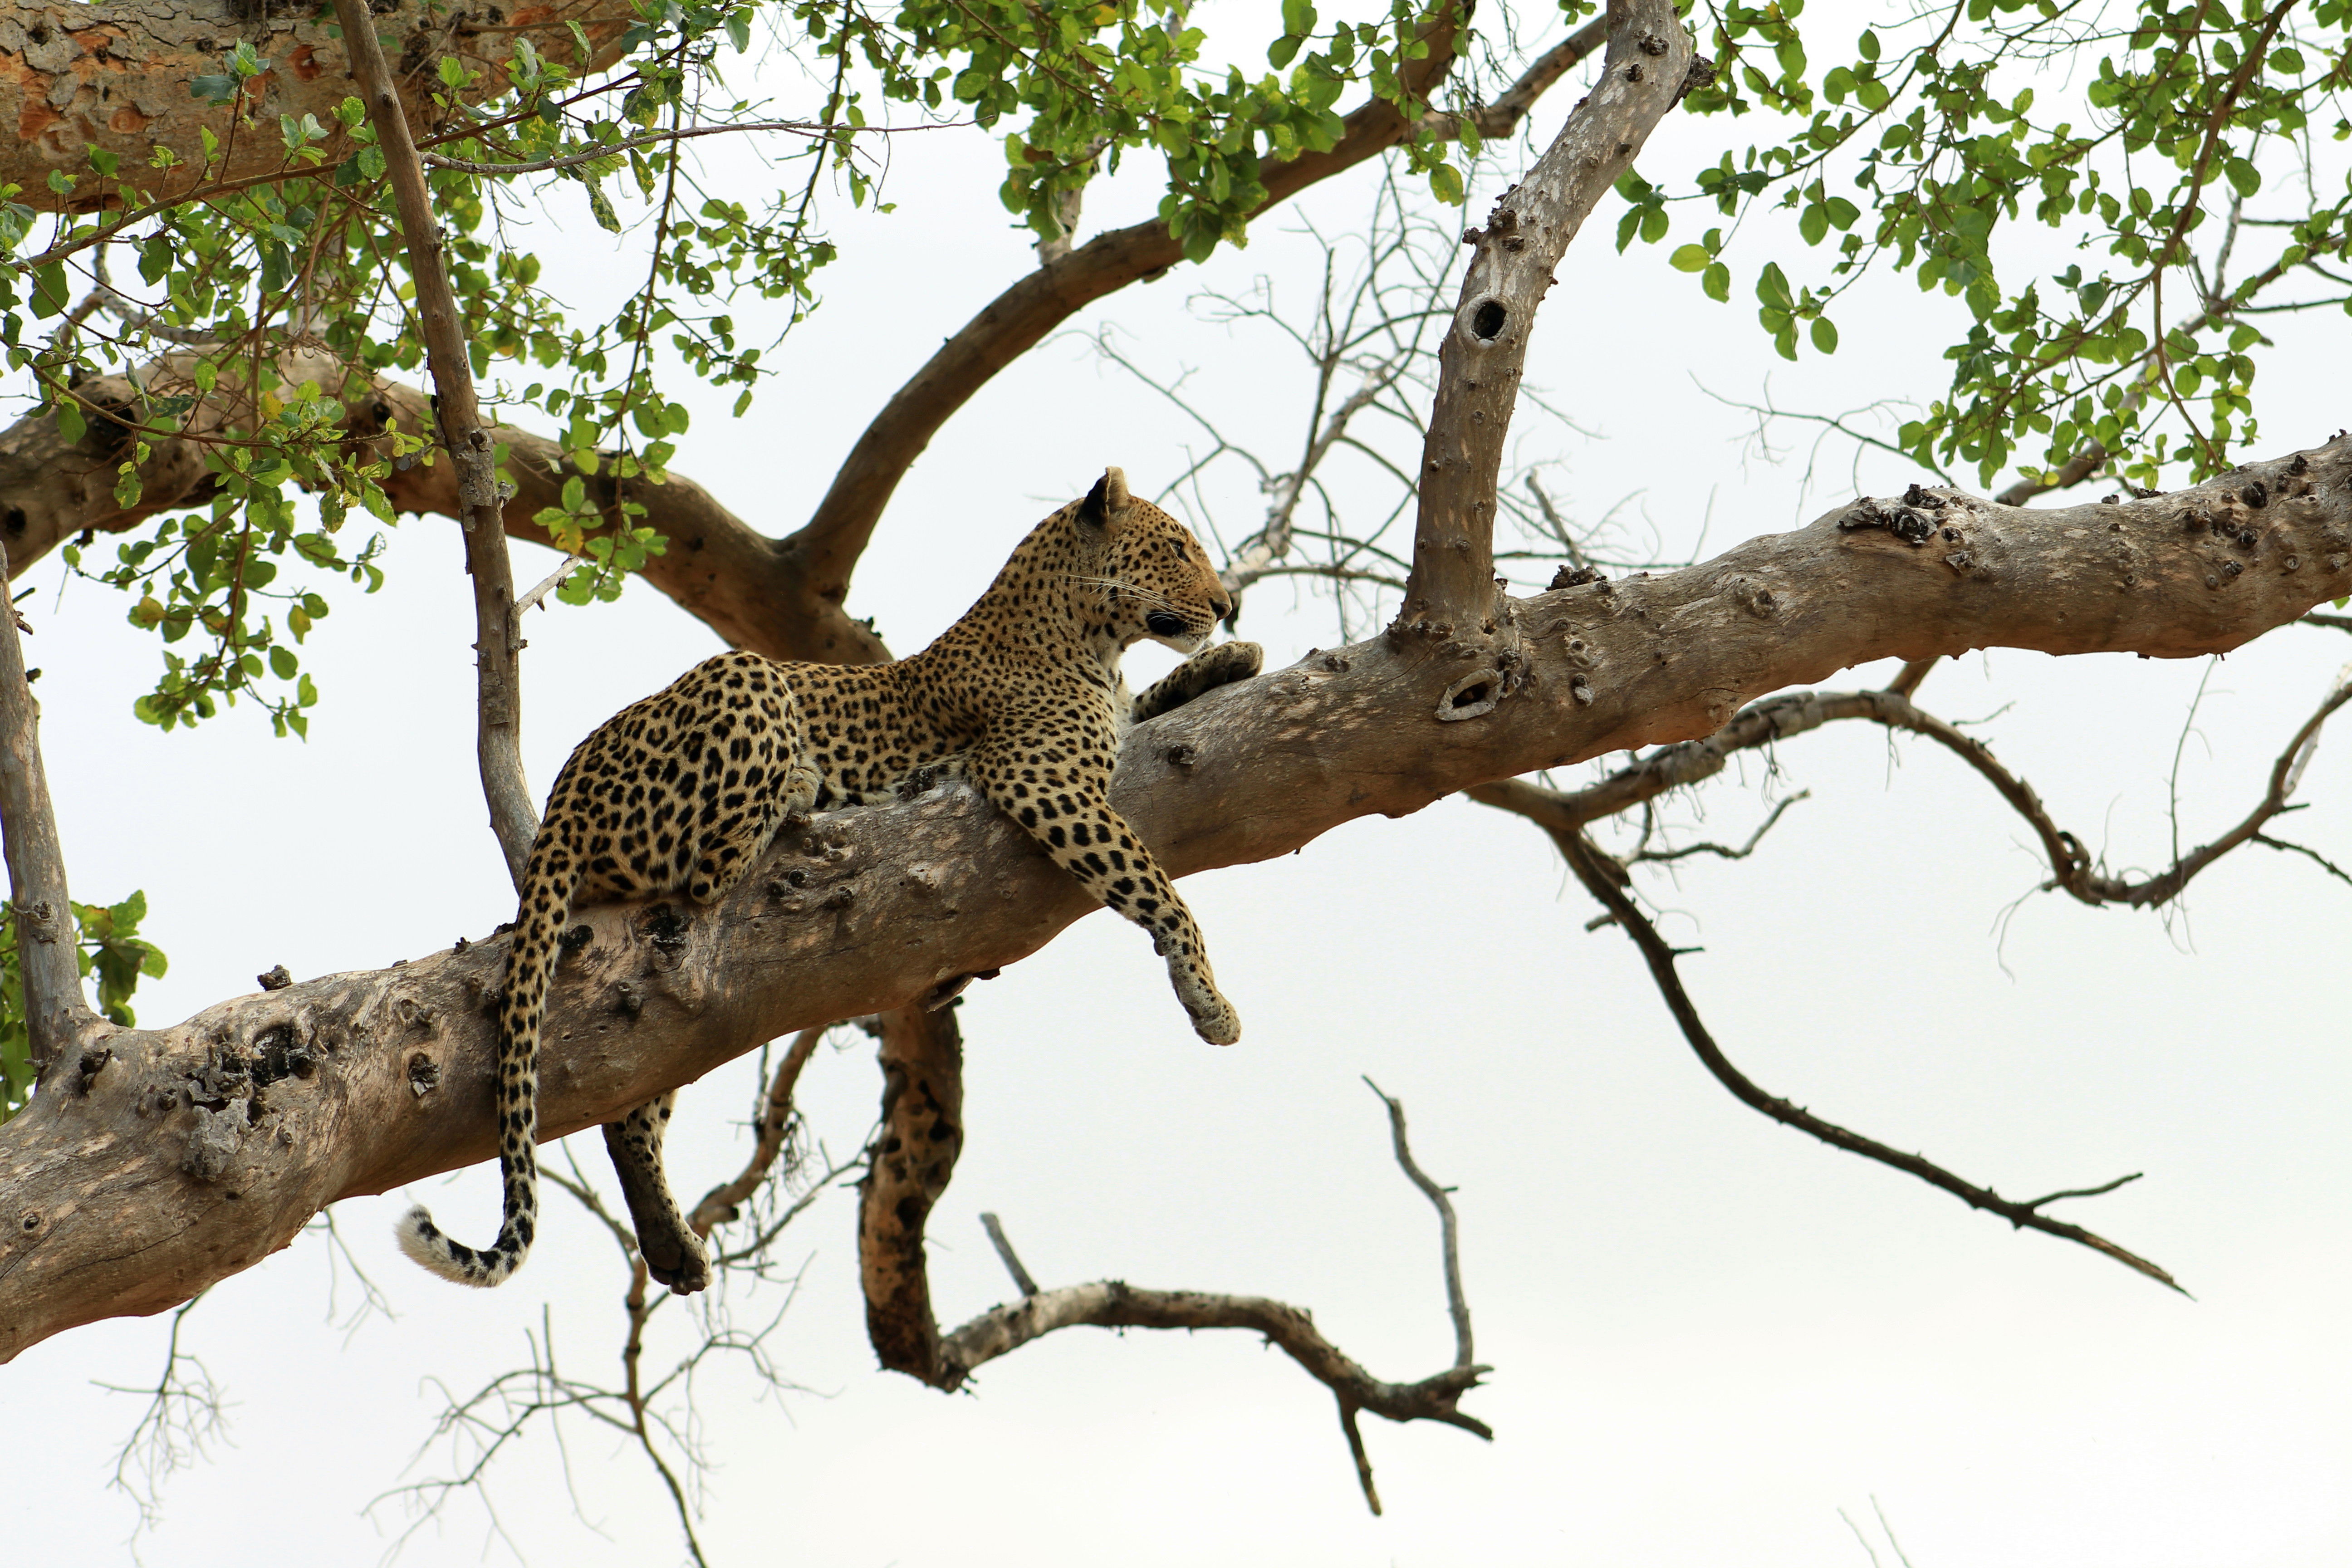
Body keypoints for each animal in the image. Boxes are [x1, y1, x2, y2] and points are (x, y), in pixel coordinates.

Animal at [399, 467, 1263, 1293]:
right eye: (1177, 548)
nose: (1228, 604)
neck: (1092, 641)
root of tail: (565, 787)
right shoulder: (1039, 778)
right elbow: (1159, 889)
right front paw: (1210, 1002)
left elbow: (1148, 709)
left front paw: (1234, 659)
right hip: (746, 676)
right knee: (708, 874)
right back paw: (811, 786)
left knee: (631, 1108)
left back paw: (671, 1243)